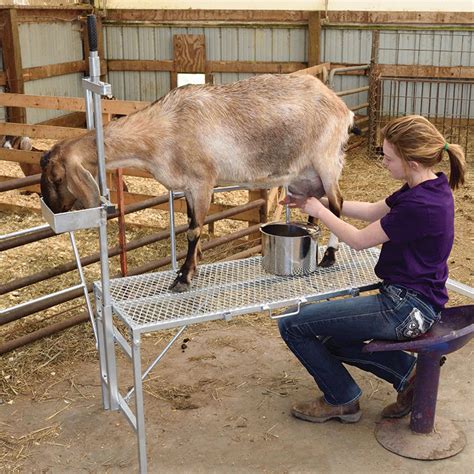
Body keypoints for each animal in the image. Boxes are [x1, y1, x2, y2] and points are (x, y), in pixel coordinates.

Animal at [41, 73, 356, 292]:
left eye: (57, 177)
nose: (55, 211)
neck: (164, 128)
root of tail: (343, 107)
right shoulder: (188, 188)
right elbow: (190, 225)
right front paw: (190, 267)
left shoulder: (202, 181)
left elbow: (194, 231)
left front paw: (183, 277)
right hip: (305, 175)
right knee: (318, 205)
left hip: (327, 160)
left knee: (337, 203)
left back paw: (329, 255)